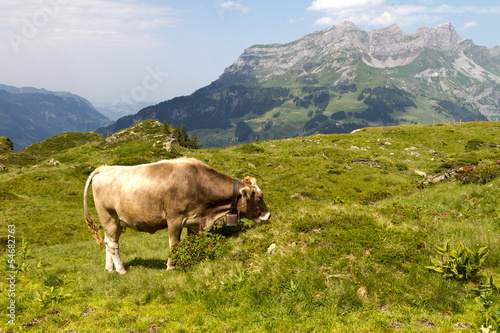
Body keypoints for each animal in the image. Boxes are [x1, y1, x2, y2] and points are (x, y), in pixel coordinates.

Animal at [83, 157, 270, 274]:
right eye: (260, 197)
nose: (267, 216)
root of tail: (104, 168)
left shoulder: (194, 220)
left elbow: (193, 241)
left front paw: (195, 260)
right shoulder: (174, 218)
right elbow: (174, 243)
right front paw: (171, 266)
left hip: (116, 222)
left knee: (109, 241)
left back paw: (109, 269)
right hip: (108, 217)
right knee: (113, 244)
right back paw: (121, 270)